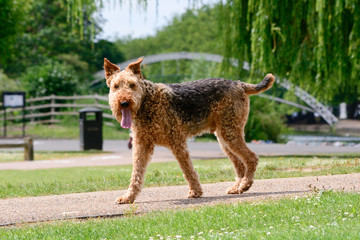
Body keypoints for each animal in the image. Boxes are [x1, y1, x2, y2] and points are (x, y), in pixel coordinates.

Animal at [104, 57, 276, 203]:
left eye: (132, 85)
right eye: (116, 86)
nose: (124, 103)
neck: (147, 102)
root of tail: (239, 84)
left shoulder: (177, 141)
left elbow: (187, 169)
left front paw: (196, 191)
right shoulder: (141, 145)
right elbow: (136, 174)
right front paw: (128, 197)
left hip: (230, 133)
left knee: (251, 158)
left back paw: (245, 185)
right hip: (224, 136)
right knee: (240, 165)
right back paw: (237, 188)